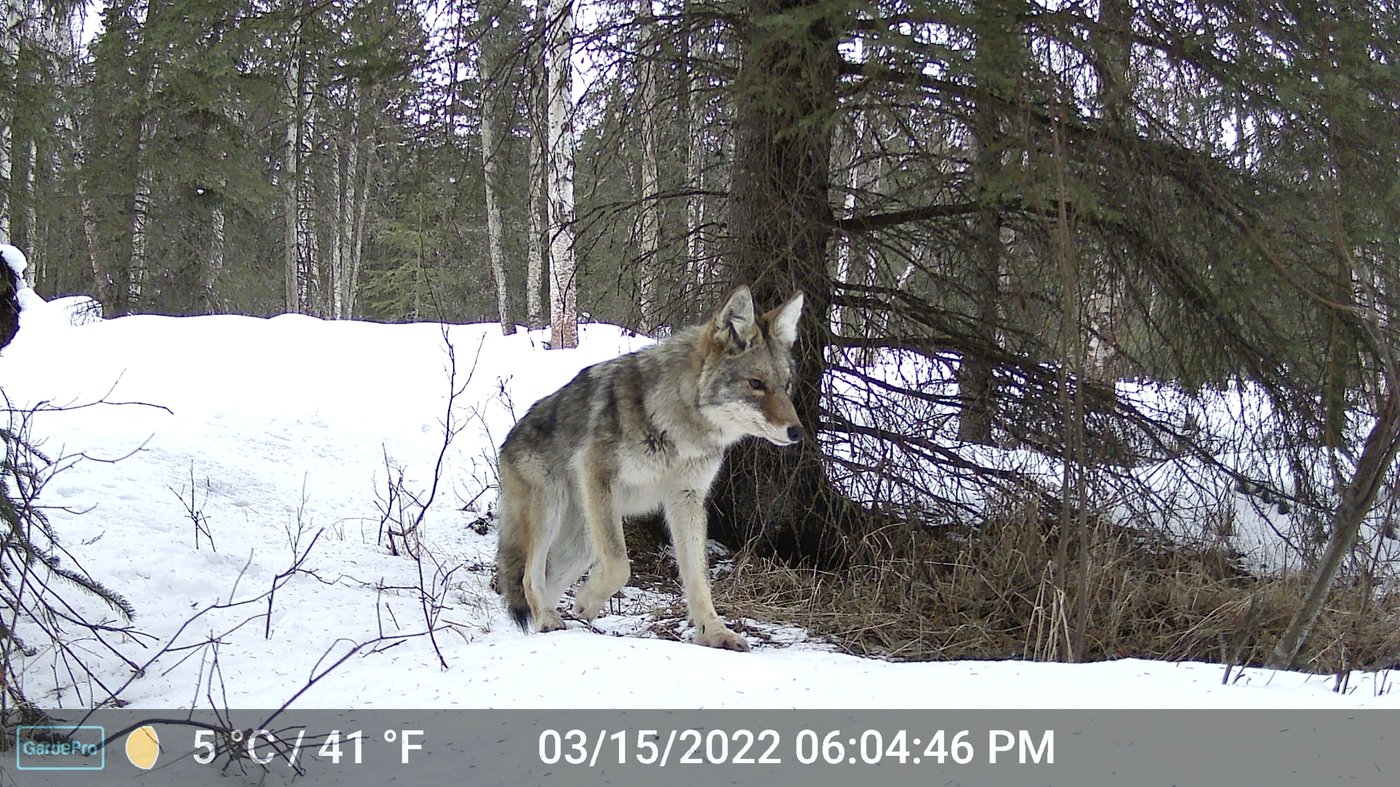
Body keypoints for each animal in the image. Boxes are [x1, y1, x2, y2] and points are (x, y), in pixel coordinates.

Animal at [495, 285, 806, 651]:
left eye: (787, 385)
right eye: (756, 383)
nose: (797, 432)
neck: (679, 427)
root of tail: (508, 439)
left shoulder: (688, 499)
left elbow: (699, 579)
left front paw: (714, 633)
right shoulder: (598, 473)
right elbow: (620, 566)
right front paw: (587, 601)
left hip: (582, 543)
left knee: (547, 582)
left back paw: (553, 625)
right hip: (552, 513)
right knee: (529, 577)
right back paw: (548, 619)